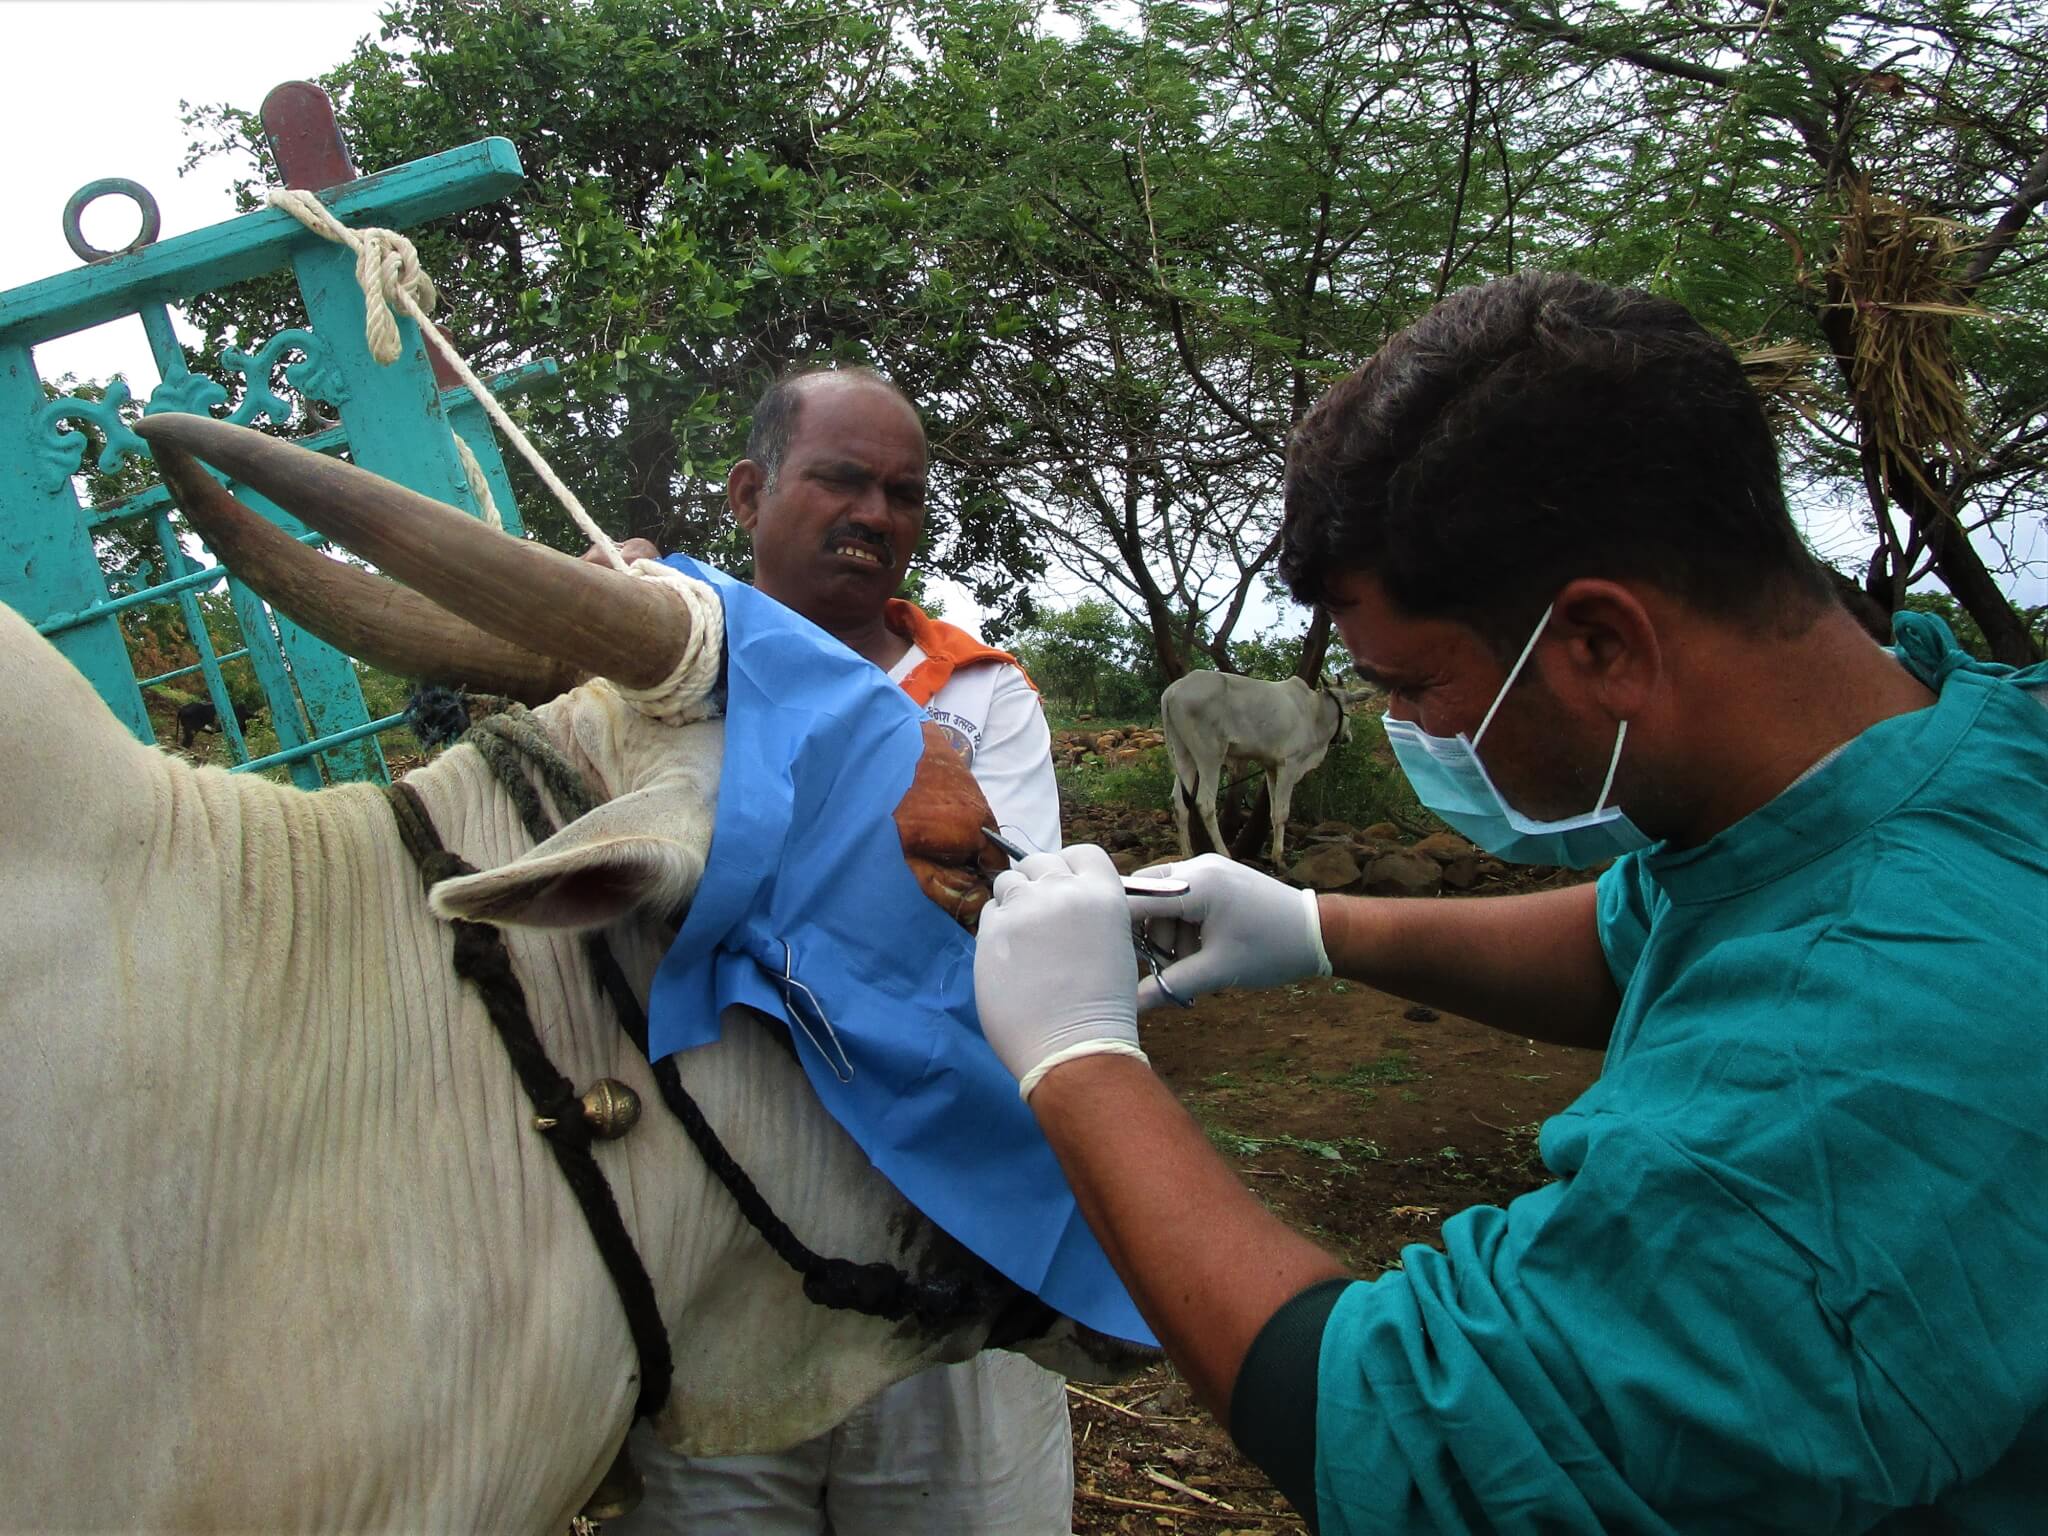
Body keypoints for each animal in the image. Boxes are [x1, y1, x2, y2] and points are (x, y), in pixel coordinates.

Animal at [1163, 671, 1368, 868]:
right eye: (1351, 702)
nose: (1347, 736)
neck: (1314, 712)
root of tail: (1172, 690)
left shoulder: (1271, 767)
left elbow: (1273, 812)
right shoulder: (1289, 764)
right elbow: (1282, 813)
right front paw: (1279, 859)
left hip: (1184, 754)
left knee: (1179, 803)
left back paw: (1188, 855)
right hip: (1210, 755)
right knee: (1205, 804)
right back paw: (1224, 853)